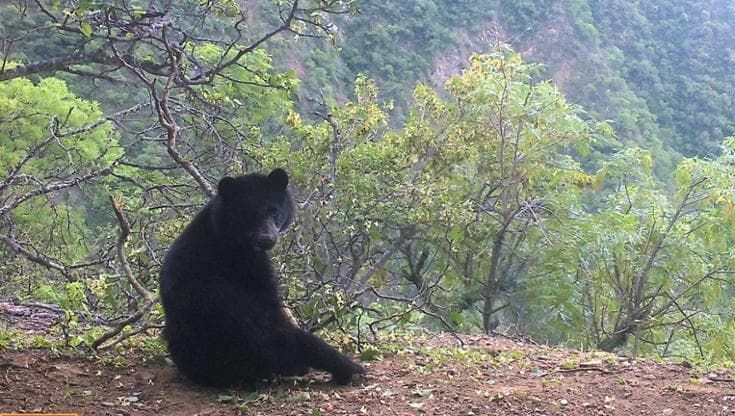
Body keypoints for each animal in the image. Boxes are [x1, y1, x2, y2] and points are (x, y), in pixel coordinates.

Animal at [159, 168, 365, 387]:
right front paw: (349, 366)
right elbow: (269, 310)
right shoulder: (246, 264)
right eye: (247, 213)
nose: (266, 239)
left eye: (273, 210)